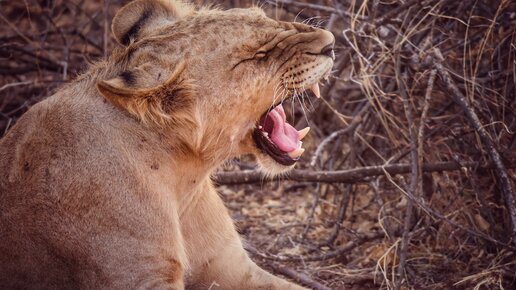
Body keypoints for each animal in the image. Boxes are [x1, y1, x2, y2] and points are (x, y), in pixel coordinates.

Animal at [0, 0, 334, 288]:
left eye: (264, 17)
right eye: (257, 56)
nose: (330, 42)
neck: (184, 178)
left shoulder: (231, 266)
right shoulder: (142, 278)